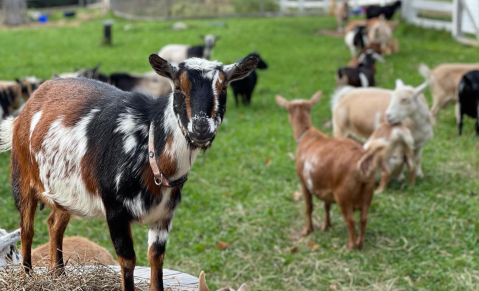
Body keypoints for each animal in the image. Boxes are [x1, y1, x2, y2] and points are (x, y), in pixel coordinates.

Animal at [0, 54, 258, 291]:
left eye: (223, 87)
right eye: (178, 86)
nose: (201, 127)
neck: (148, 145)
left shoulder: (164, 215)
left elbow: (156, 257)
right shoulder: (115, 210)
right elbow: (127, 260)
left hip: (65, 192)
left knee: (54, 224)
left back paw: (59, 275)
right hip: (22, 177)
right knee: (27, 230)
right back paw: (27, 276)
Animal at [278, 92, 386, 250]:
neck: (307, 134)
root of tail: (362, 161)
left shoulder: (304, 182)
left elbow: (308, 207)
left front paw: (307, 230)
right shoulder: (326, 186)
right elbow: (326, 205)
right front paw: (326, 226)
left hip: (343, 194)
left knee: (350, 220)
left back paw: (351, 246)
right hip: (369, 190)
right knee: (363, 218)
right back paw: (360, 244)